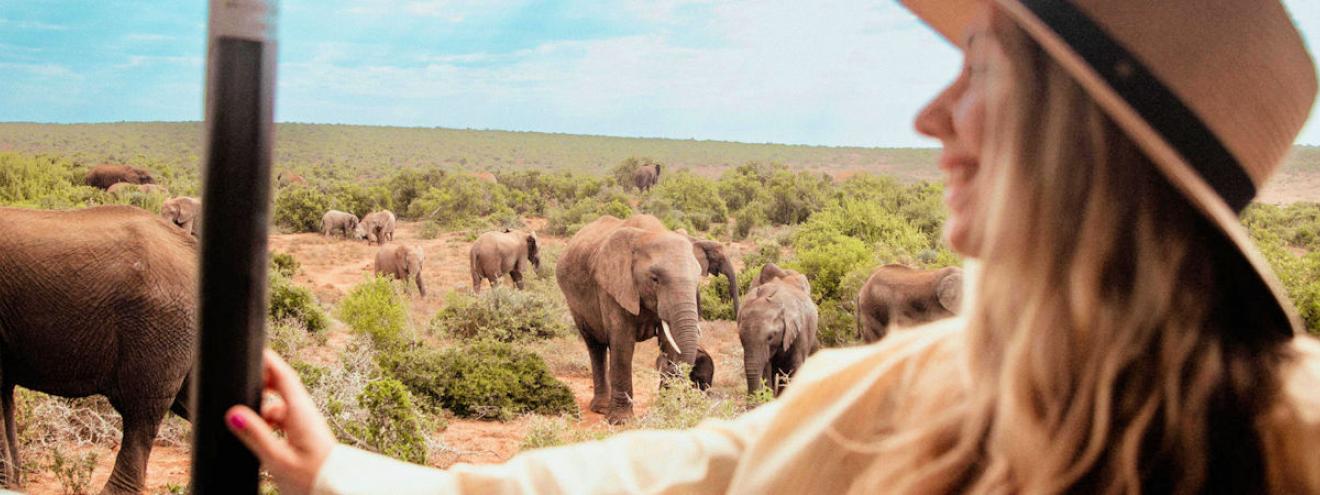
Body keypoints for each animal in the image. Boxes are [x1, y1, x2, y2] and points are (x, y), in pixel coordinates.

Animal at [557, 214, 705, 424]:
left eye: (698, 278)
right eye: (655, 279)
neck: (649, 233)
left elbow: (670, 342)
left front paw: (665, 412)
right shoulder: (613, 286)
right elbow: (622, 343)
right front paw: (621, 421)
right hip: (574, 302)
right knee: (595, 346)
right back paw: (601, 409)